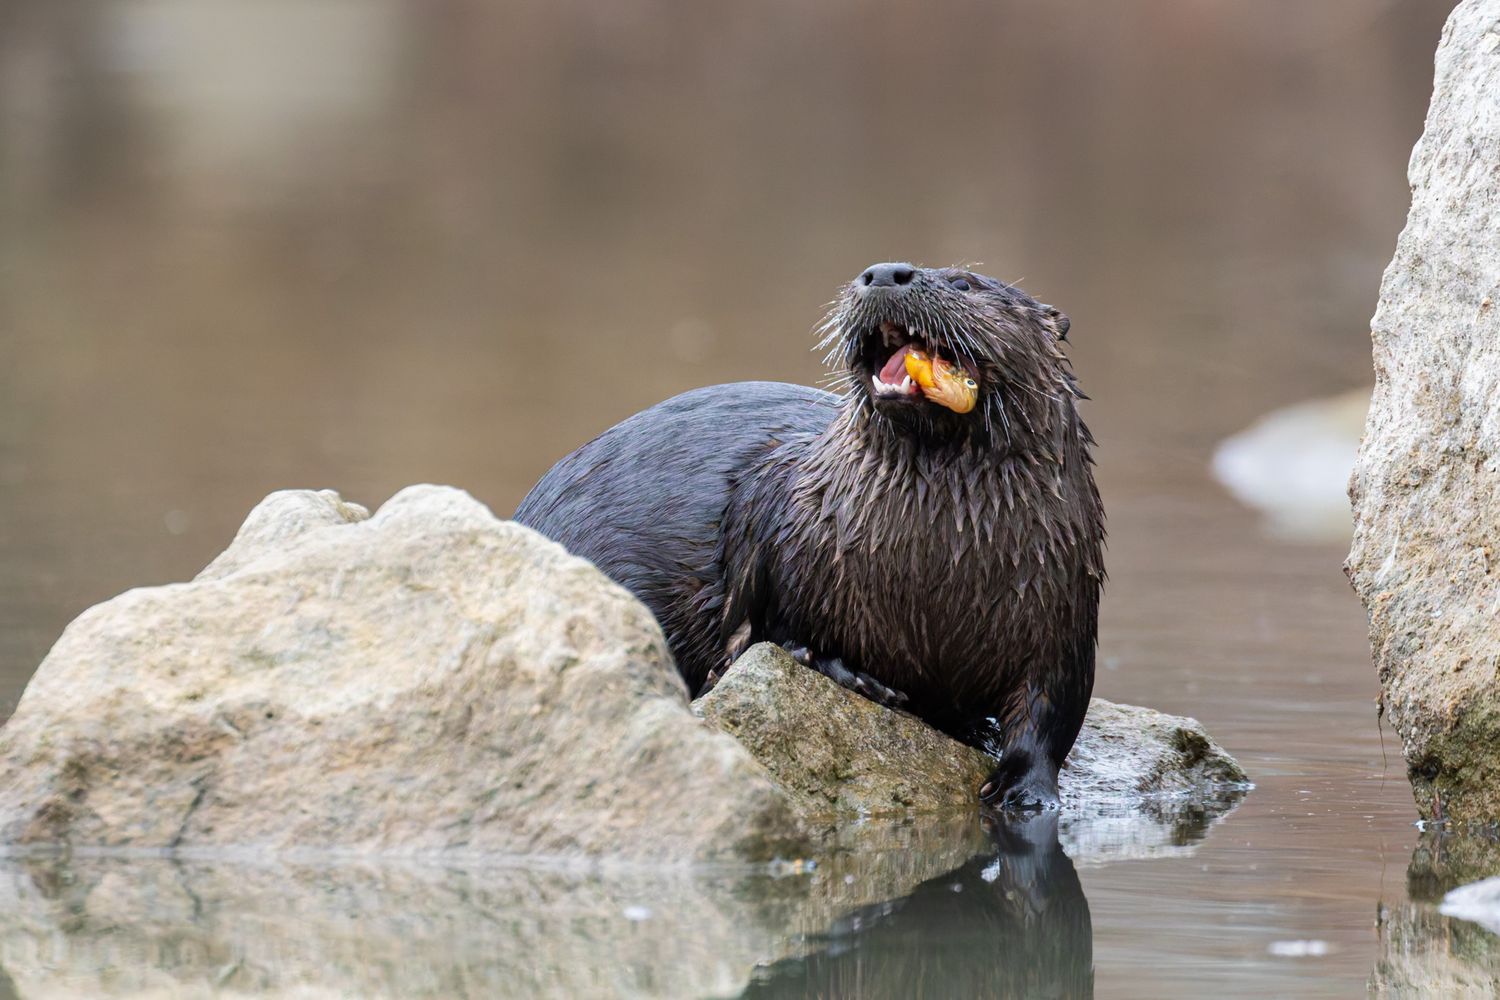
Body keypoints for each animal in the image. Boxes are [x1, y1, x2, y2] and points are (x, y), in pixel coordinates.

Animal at [514, 262, 1104, 809]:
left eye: (964, 284)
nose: (884, 273)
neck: (938, 566)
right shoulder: (780, 525)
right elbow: (766, 631)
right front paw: (848, 671)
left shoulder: (1066, 613)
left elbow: (1051, 716)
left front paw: (1023, 790)